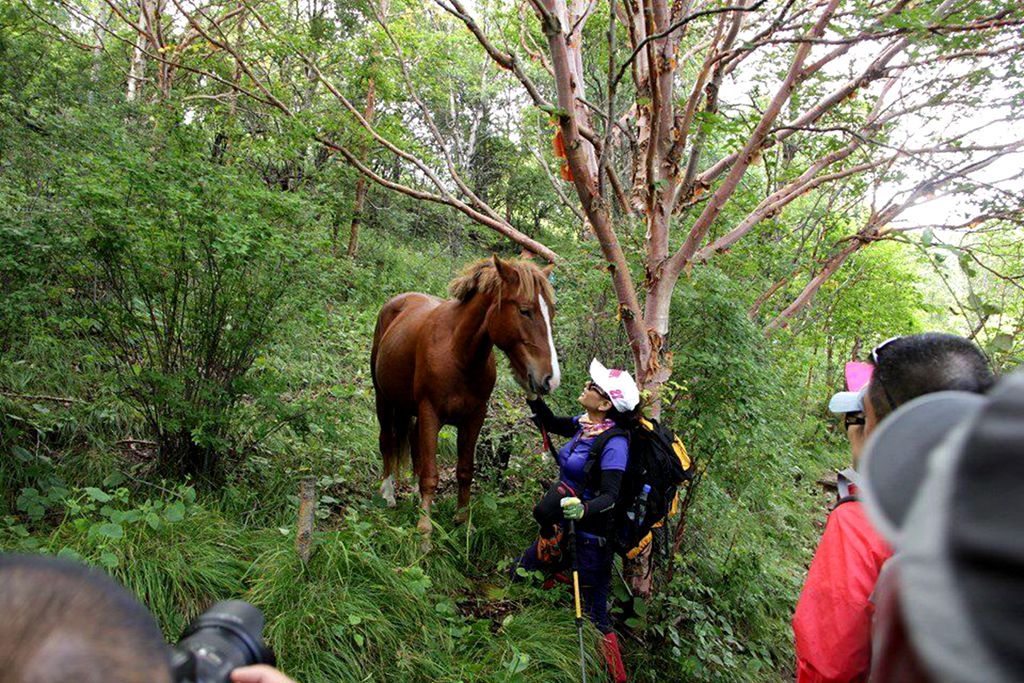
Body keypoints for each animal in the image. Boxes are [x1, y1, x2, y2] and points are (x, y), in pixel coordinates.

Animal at [372, 253, 561, 548]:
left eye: (550, 313)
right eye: (525, 311)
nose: (550, 379)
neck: (458, 354)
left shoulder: (474, 418)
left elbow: (464, 470)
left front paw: (463, 521)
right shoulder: (430, 413)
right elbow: (431, 474)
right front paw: (425, 530)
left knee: (412, 443)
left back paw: (414, 494)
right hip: (384, 399)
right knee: (387, 441)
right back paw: (389, 492)